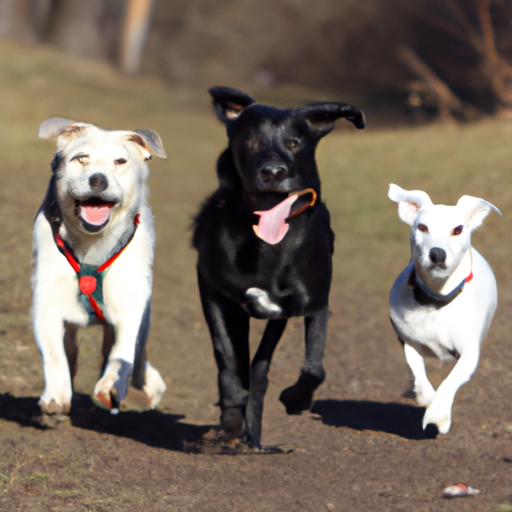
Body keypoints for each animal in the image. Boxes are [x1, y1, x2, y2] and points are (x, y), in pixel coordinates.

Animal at [32, 117, 168, 416]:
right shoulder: (47, 300)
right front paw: (56, 397)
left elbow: (123, 351)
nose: (98, 179)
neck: (92, 245)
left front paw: (110, 388)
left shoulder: (131, 301)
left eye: (121, 161)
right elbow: (54, 355)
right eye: (81, 158)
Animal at [192, 86, 364, 450]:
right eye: (250, 140)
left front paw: (295, 400)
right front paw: (231, 416)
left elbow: (313, 367)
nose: (273, 172)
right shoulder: (213, 289)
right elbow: (227, 356)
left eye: (295, 142)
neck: (268, 245)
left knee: (260, 370)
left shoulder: (312, 303)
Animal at [388, 183, 500, 432]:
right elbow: (415, 366)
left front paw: (438, 413)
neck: (436, 300)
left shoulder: (469, 352)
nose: (437, 253)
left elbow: (452, 380)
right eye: (422, 227)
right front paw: (426, 396)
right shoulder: (406, 337)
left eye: (457, 229)